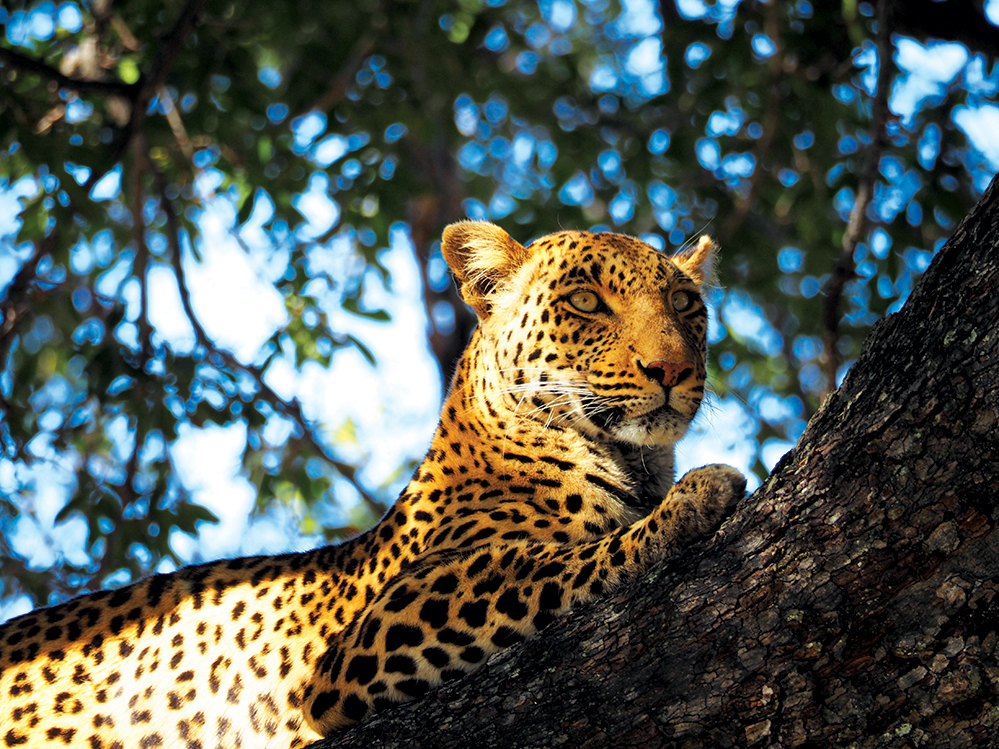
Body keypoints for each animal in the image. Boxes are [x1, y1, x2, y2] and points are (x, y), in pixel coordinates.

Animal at [0, 219, 748, 744]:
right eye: (586, 301)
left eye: (686, 304)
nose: (673, 370)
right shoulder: (382, 626)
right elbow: (563, 559)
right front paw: (694, 497)